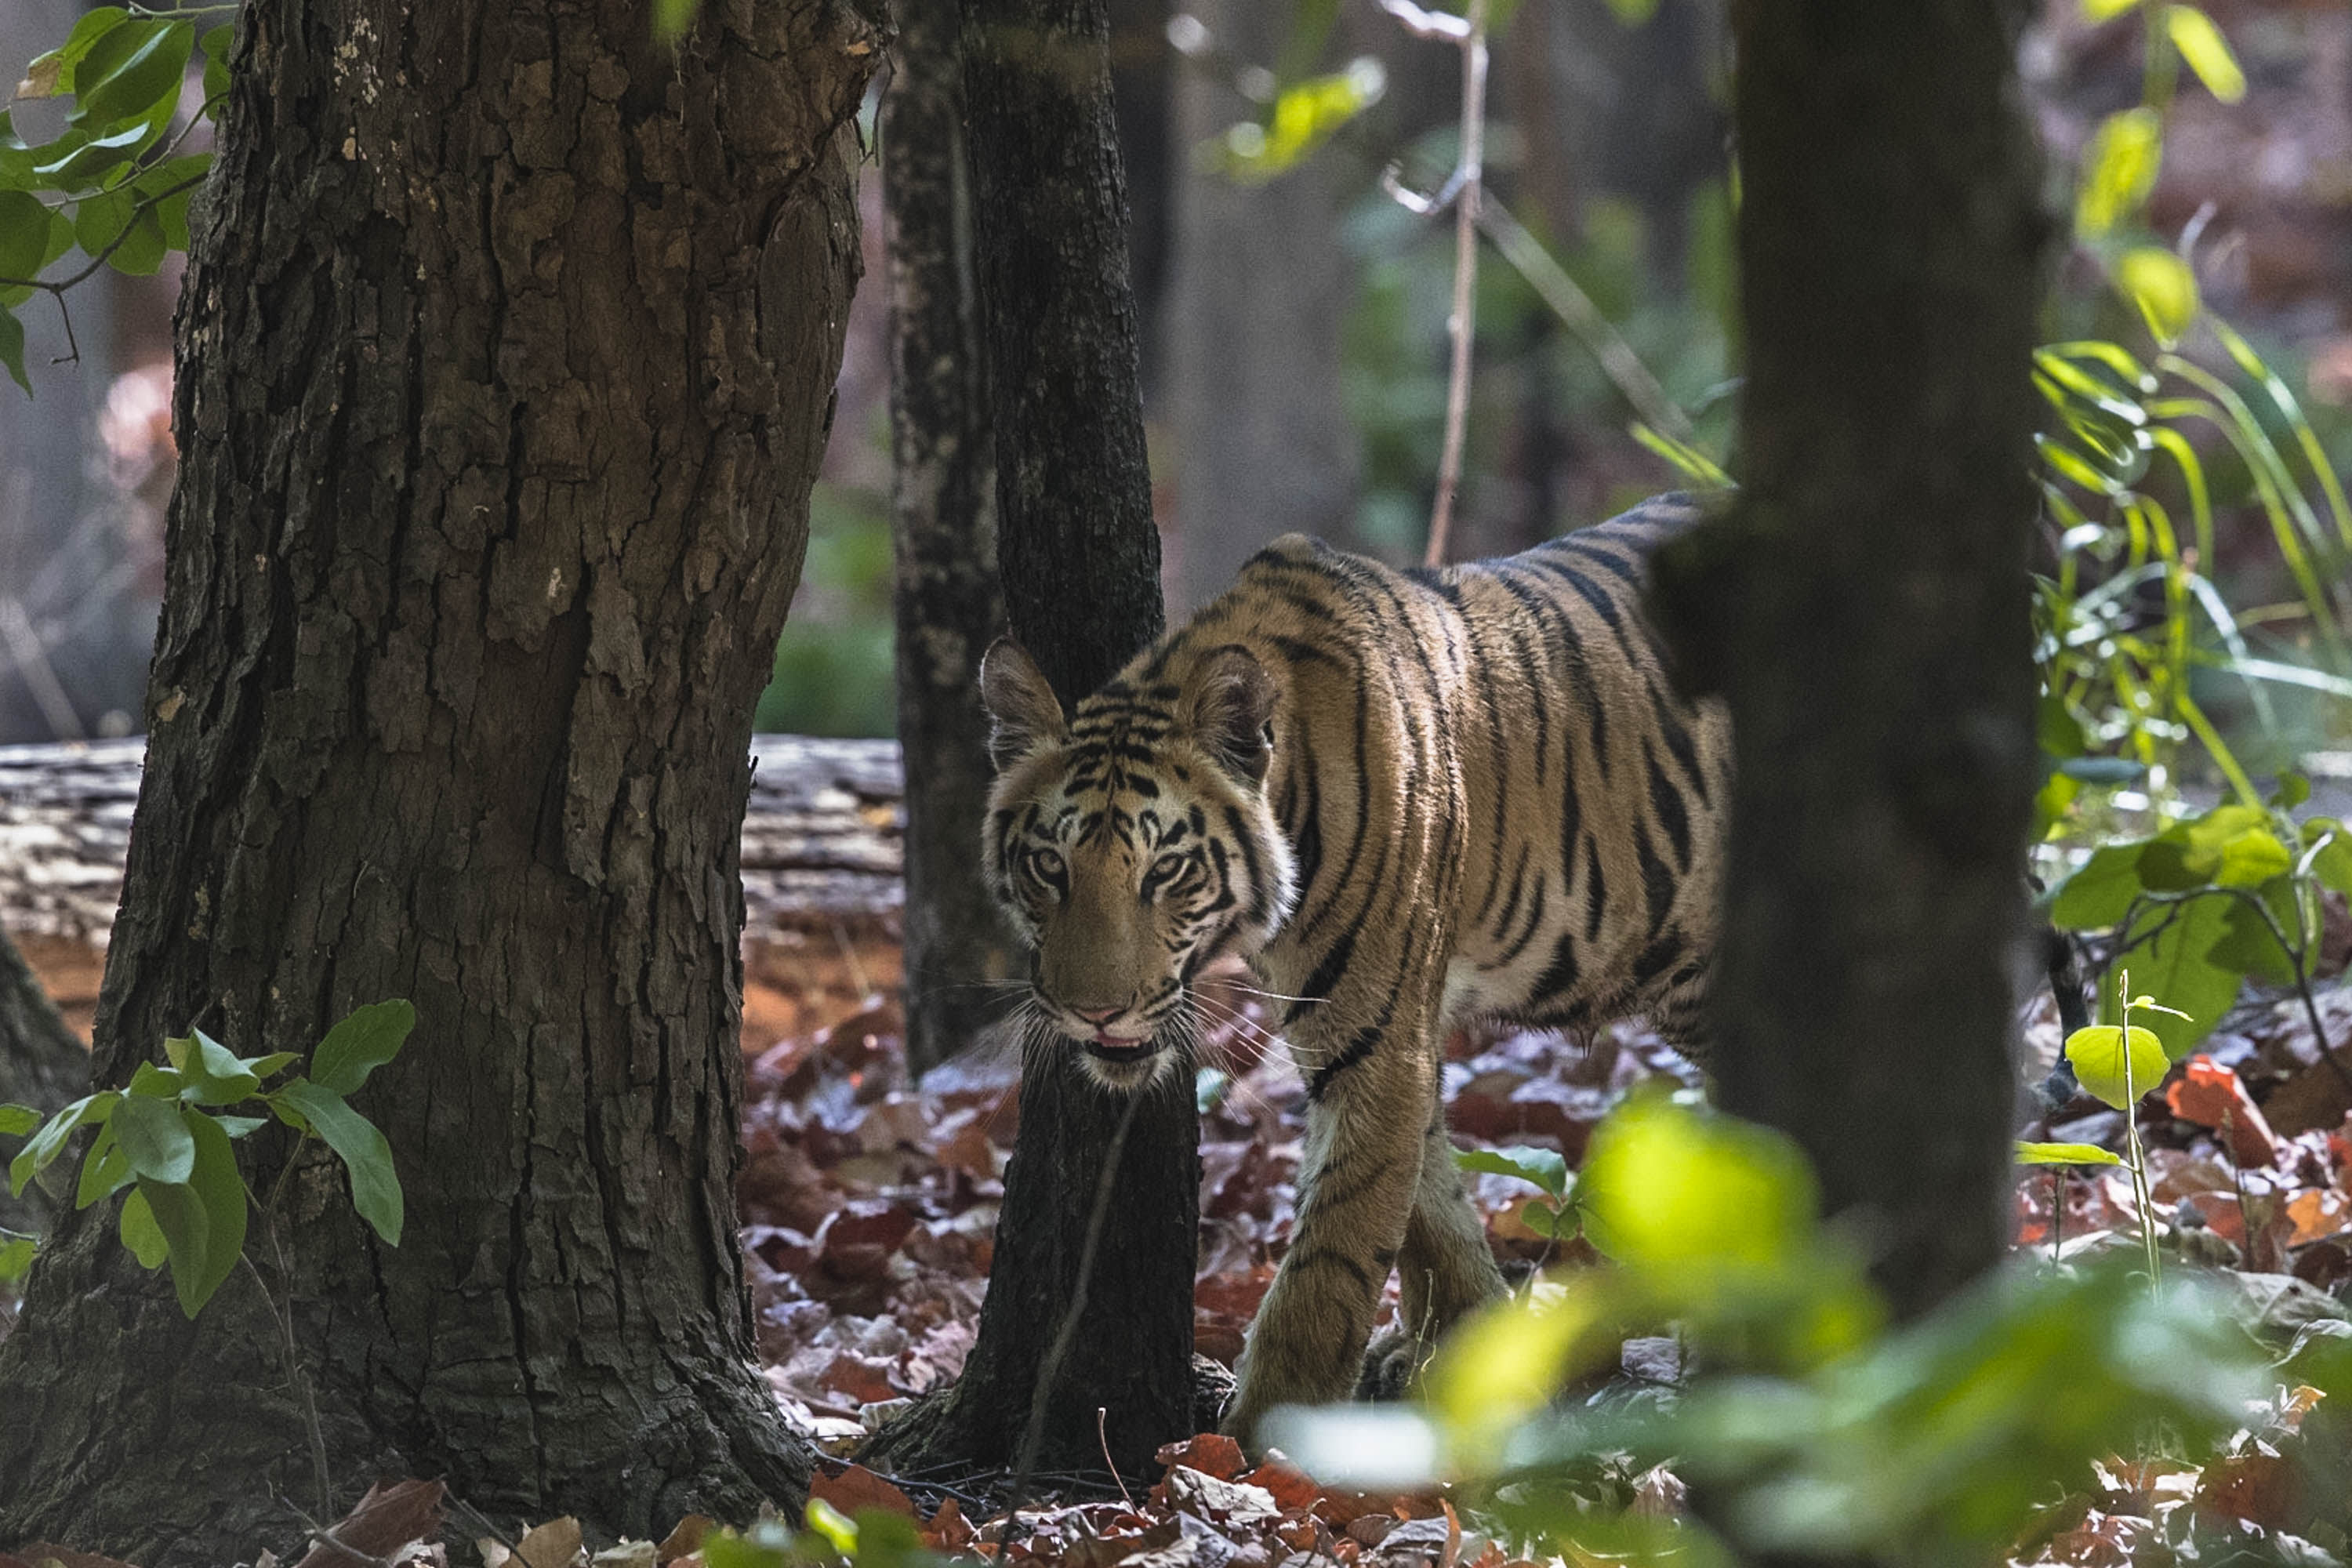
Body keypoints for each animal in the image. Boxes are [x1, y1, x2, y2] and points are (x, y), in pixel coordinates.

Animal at [974, 491, 1731, 1448]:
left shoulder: (1378, 1038)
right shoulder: (1373, 1037)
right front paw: (1475, 1347)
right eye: (1050, 865)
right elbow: (1427, 1204)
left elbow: (1334, 1249)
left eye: (1166, 871)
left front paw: (1262, 1443)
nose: (1095, 1013)